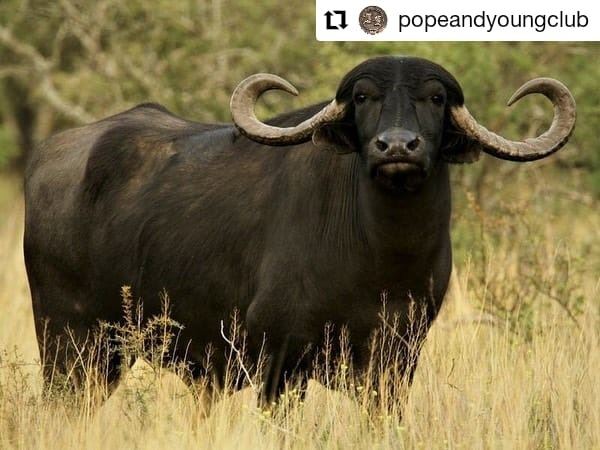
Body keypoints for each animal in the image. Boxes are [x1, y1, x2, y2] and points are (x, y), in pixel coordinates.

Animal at [24, 56, 575, 403]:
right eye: (363, 96)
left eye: (436, 98)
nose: (398, 147)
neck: (381, 260)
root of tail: (48, 156)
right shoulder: (281, 360)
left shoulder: (396, 361)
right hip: (70, 347)